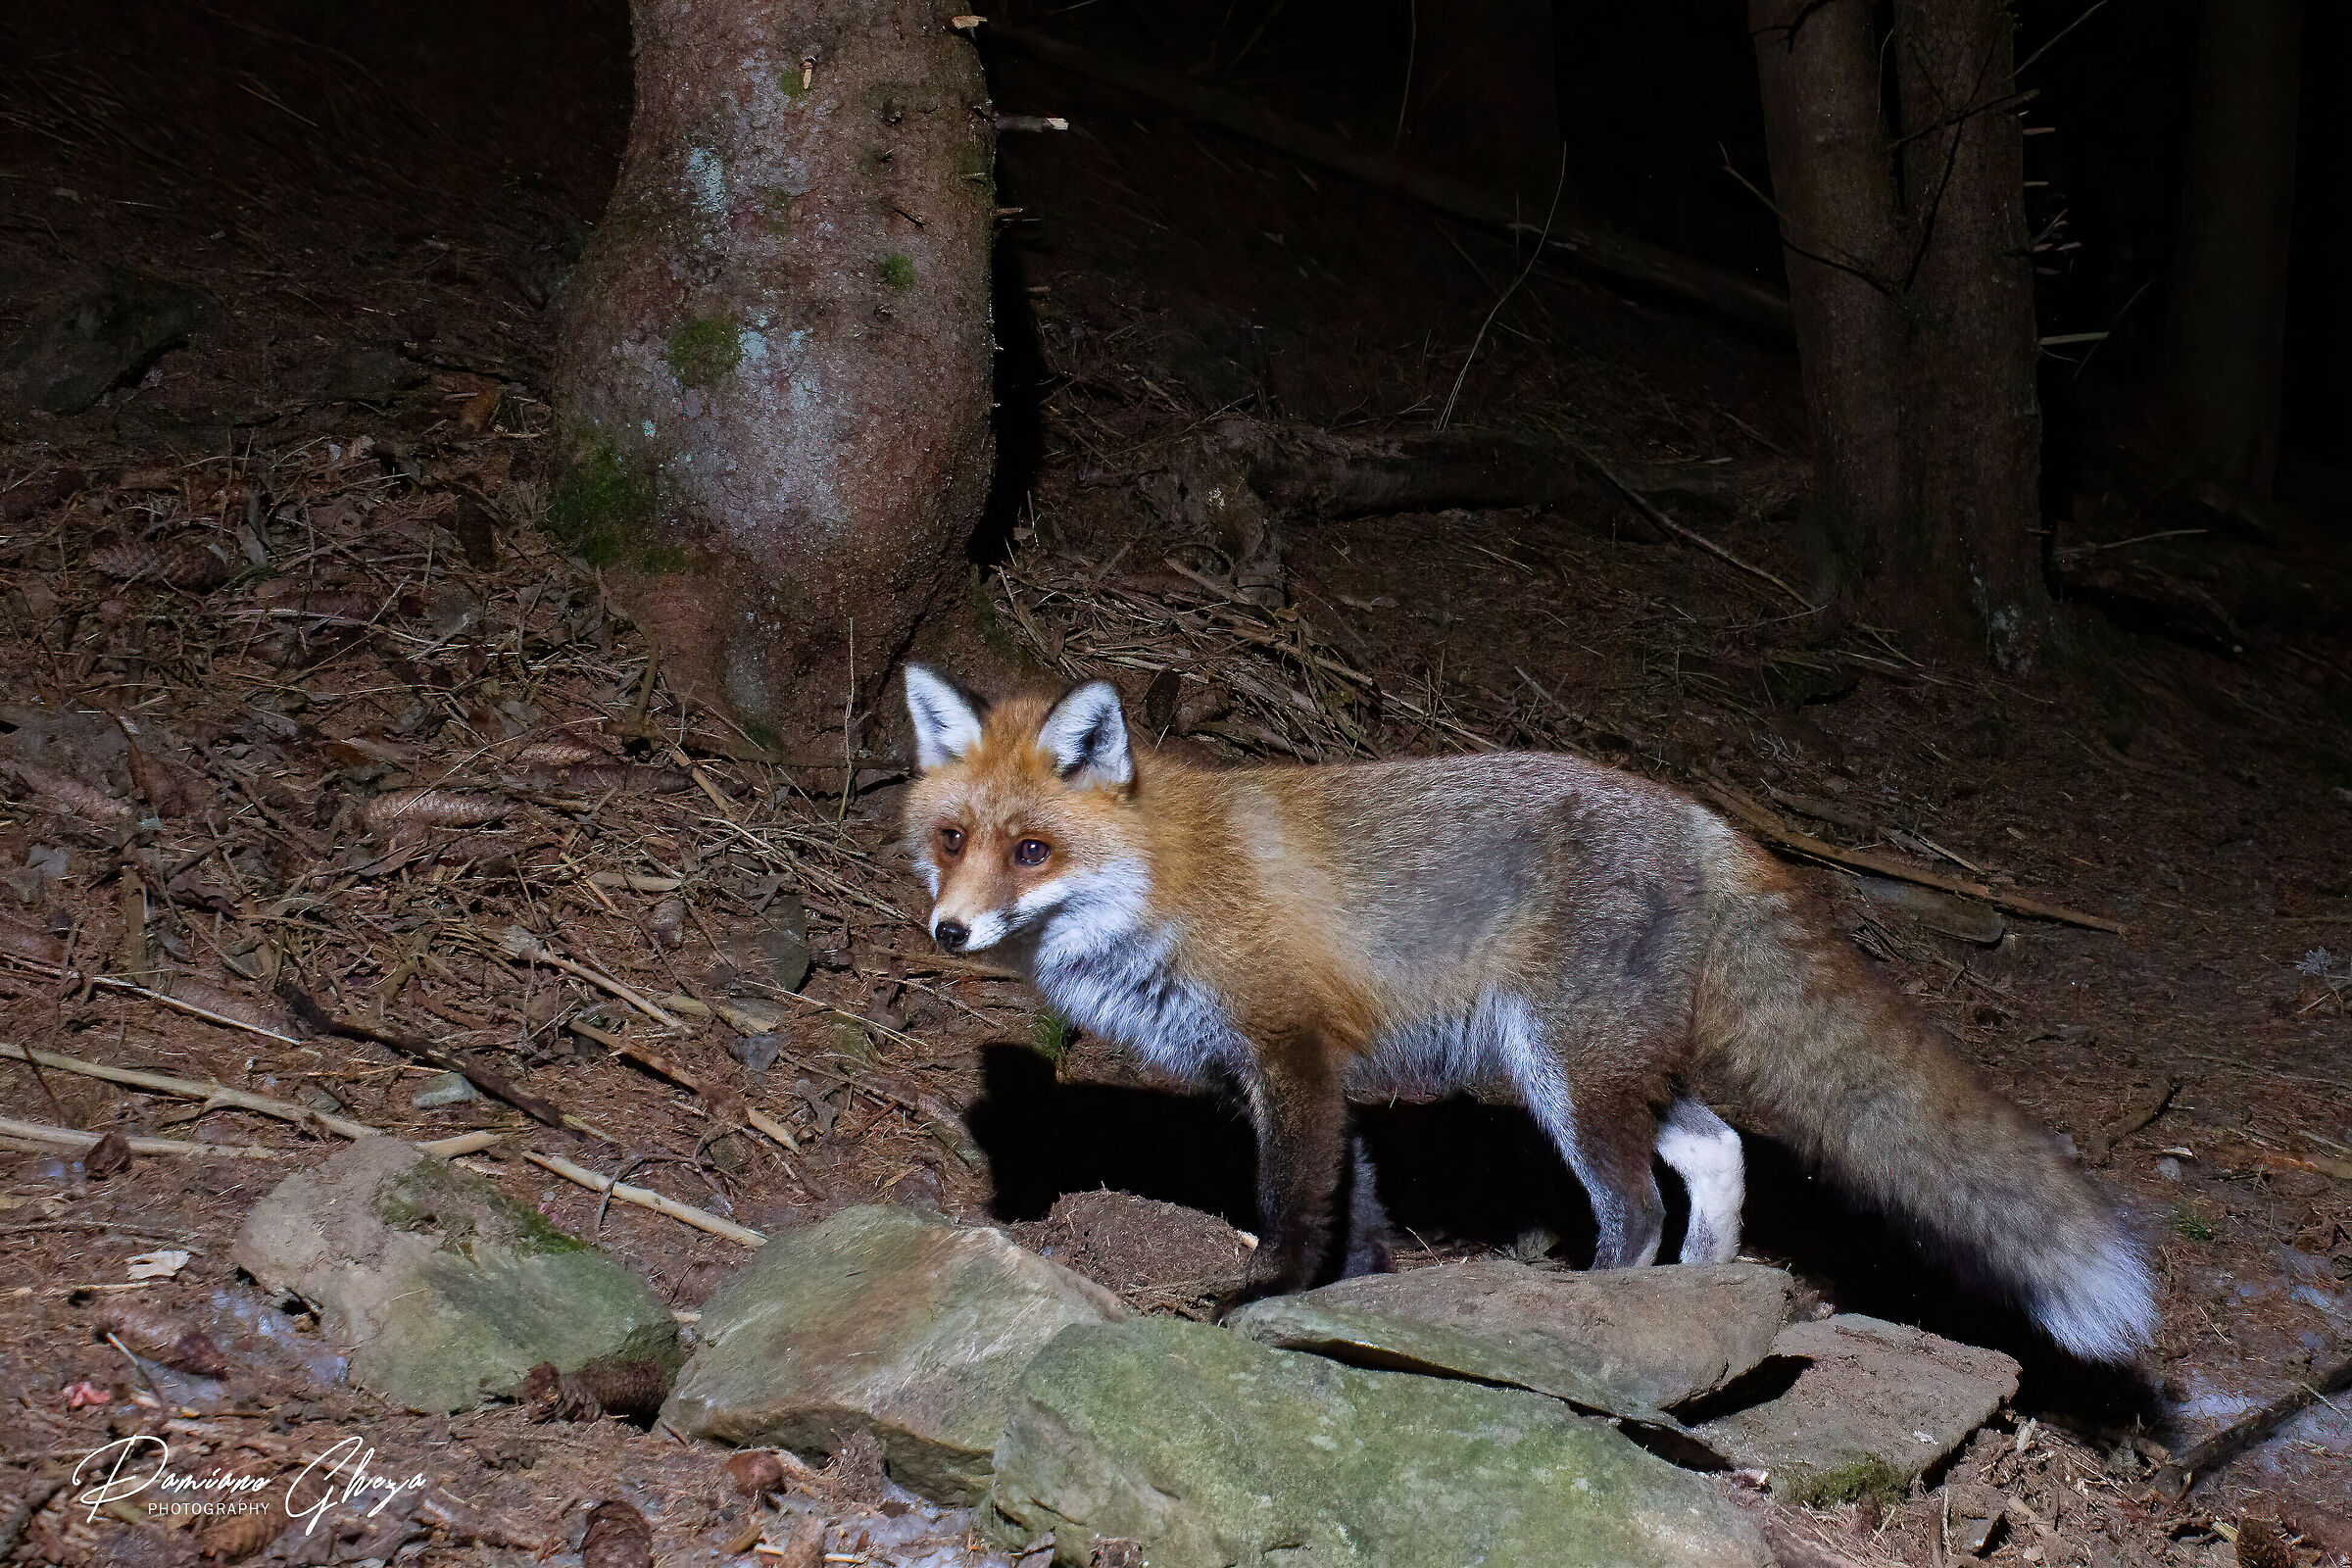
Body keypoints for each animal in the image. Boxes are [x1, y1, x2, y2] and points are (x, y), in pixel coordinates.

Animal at [900, 664, 2157, 1361]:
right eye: (952, 839)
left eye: (1032, 849)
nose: (948, 932)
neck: (1162, 876)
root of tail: (1710, 820)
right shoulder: (1307, 1071)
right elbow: (1360, 1204)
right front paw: (1361, 1292)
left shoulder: (1294, 1051)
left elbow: (1294, 1202)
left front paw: (1262, 1296)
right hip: (1609, 1066)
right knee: (1720, 1151)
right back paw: (1696, 1296)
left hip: (1564, 1069)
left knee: (1637, 1206)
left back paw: (1582, 1310)